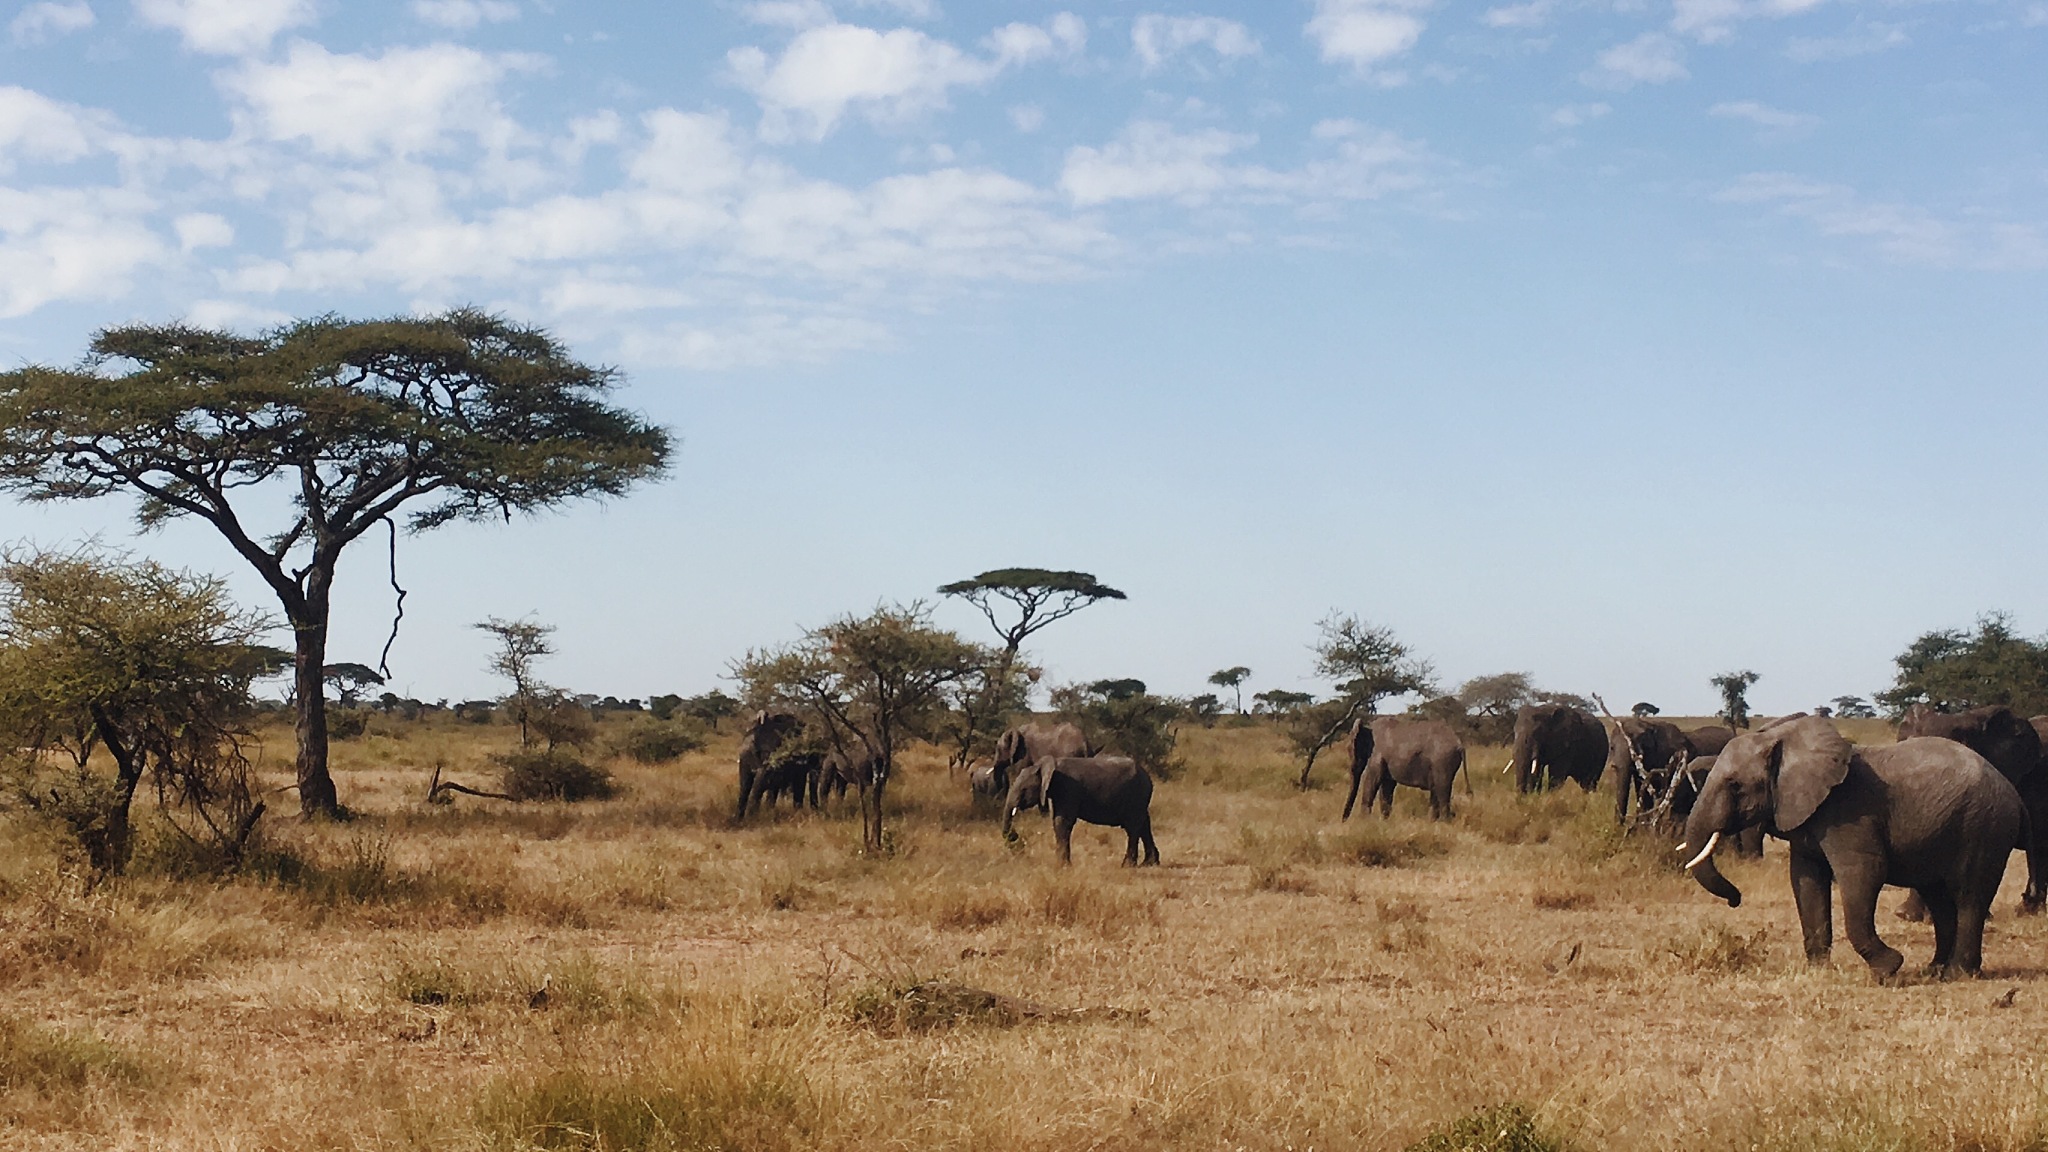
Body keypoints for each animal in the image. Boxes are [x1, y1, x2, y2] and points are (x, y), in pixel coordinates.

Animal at [1002, 755, 1158, 866]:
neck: (1047, 765)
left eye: (1024, 789)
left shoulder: (1068, 788)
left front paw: (1063, 866)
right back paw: (1149, 864)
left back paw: (1128, 866)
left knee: (1133, 827)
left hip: (1136, 795)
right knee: (1144, 824)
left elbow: (1062, 821)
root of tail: (1148, 777)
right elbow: (1057, 821)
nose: (1015, 837)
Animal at [1682, 715, 2024, 980]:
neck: (1784, 741)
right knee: (1939, 899)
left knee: (1969, 897)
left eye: (1735, 785)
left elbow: (1862, 874)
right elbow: (1806, 879)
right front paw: (1819, 970)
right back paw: (1934, 970)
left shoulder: (1849, 814)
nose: (1735, 900)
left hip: (1984, 826)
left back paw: (1958, 973)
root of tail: (2011, 791)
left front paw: (1888, 969)